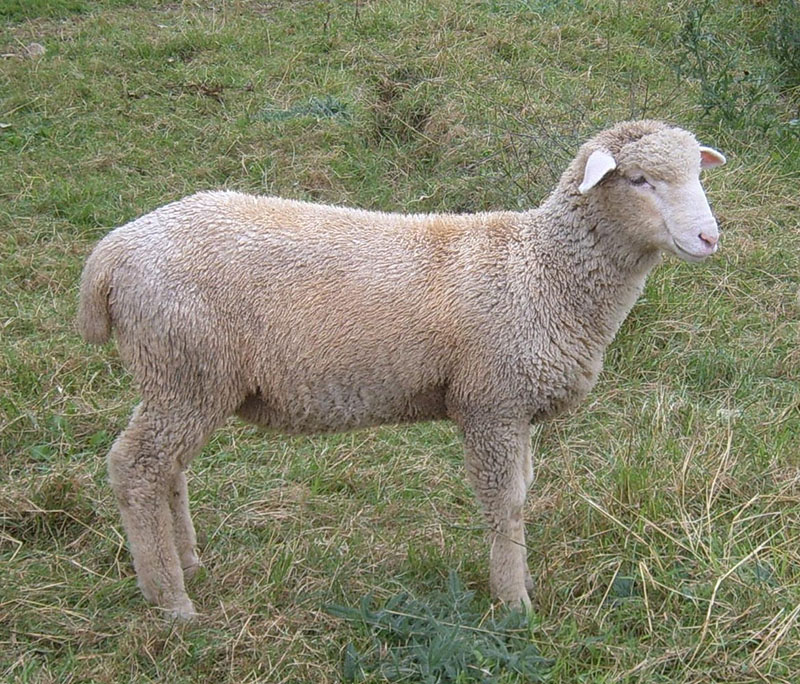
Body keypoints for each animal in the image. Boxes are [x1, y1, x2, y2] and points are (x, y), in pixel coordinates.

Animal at [79, 120, 724, 616]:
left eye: (698, 175)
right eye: (640, 180)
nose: (708, 237)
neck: (540, 270)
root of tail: (113, 253)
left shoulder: (512, 409)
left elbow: (521, 495)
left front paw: (521, 581)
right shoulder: (491, 403)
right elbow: (504, 502)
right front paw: (513, 603)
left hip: (181, 377)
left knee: (167, 467)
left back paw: (187, 560)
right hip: (186, 370)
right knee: (134, 467)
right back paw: (171, 601)